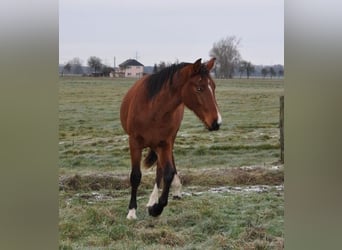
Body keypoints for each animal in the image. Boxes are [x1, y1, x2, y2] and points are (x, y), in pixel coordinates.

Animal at [120, 57, 222, 219]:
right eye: (199, 88)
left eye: (213, 86)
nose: (216, 122)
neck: (154, 109)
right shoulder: (134, 143)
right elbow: (135, 176)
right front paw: (131, 211)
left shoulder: (164, 143)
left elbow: (167, 173)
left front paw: (156, 208)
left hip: (167, 143)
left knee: (161, 169)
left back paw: (157, 198)